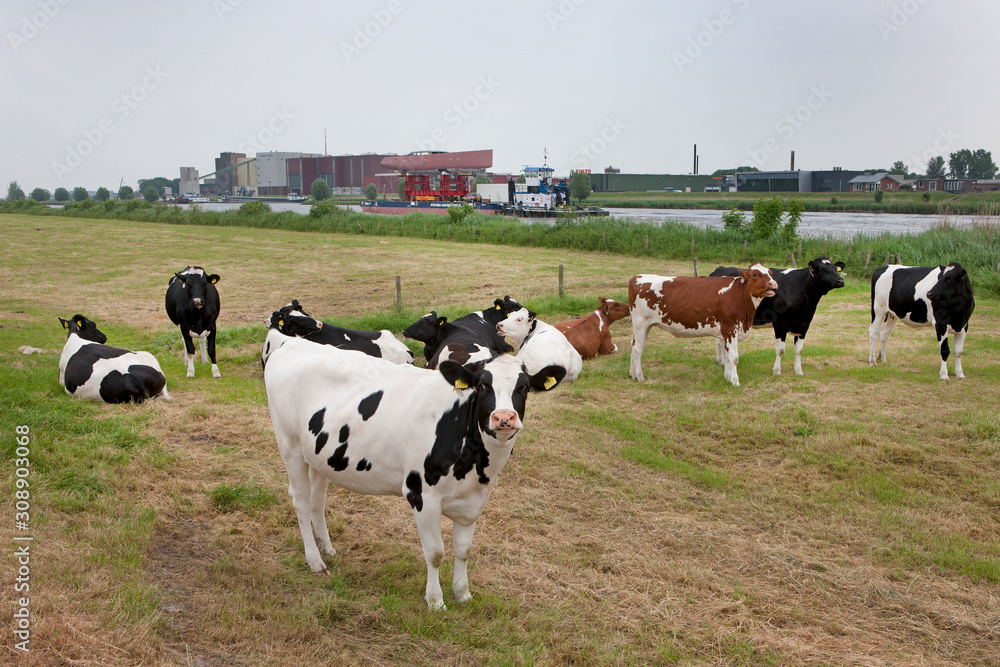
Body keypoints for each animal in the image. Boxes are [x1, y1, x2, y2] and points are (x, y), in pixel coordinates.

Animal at [262, 332, 568, 612]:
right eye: (482, 386)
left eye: (524, 388)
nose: (504, 418)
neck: (477, 465)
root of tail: (292, 341)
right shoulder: (422, 496)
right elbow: (435, 553)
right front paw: (435, 601)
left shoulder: (473, 501)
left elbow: (463, 550)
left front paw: (462, 593)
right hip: (290, 446)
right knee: (301, 500)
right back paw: (315, 560)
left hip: (320, 455)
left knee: (317, 500)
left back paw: (327, 548)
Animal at [628, 262, 776, 386]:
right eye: (755, 274)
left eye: (770, 273)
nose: (773, 284)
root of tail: (637, 277)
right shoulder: (731, 329)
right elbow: (733, 358)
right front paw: (735, 381)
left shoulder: (725, 332)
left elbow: (726, 356)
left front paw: (727, 377)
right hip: (641, 323)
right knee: (638, 348)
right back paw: (640, 377)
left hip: (645, 325)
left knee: (633, 345)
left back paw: (632, 374)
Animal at [708, 258, 848, 376]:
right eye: (823, 270)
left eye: (835, 269)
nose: (841, 281)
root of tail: (719, 269)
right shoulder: (780, 325)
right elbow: (780, 350)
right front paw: (776, 371)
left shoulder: (804, 325)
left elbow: (799, 350)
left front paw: (798, 371)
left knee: (720, 341)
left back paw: (720, 361)